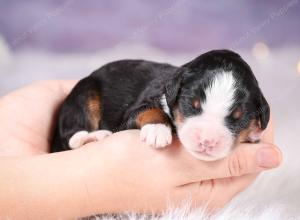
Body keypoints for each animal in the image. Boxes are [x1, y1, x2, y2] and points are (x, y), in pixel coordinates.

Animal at [51, 49, 270, 162]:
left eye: (237, 118)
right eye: (192, 105)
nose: (207, 141)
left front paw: (253, 132)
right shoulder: (129, 116)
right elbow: (150, 110)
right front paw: (157, 129)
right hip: (84, 94)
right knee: (72, 138)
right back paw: (94, 137)